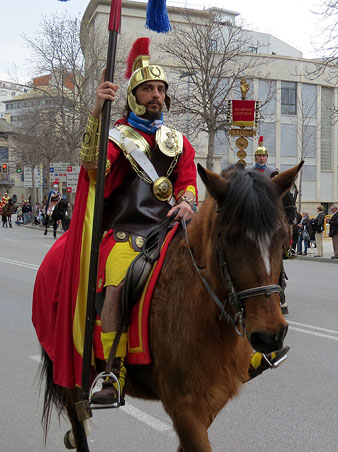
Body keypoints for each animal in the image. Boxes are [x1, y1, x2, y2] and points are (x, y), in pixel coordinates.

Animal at [38, 162, 302, 452]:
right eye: (231, 238)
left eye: (282, 236)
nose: (270, 336)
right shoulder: (185, 408)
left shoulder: (209, 404)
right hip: (68, 372)